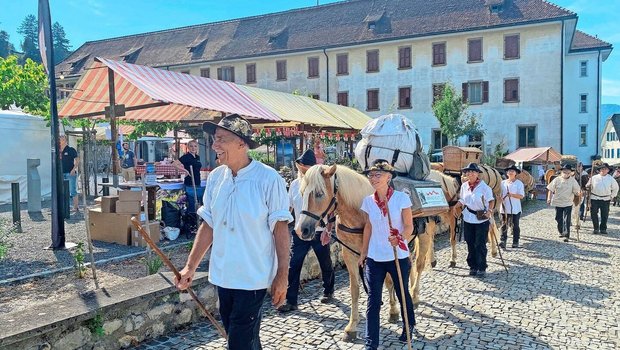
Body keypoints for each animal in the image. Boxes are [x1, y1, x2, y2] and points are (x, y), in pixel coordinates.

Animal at [296, 164, 436, 342]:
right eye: (302, 193)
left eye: (320, 193)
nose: (302, 230)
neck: (359, 213)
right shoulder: (350, 256)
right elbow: (355, 290)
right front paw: (352, 327)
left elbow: (389, 281)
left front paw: (394, 310)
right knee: (409, 265)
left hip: (424, 236)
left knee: (419, 265)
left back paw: (415, 295)